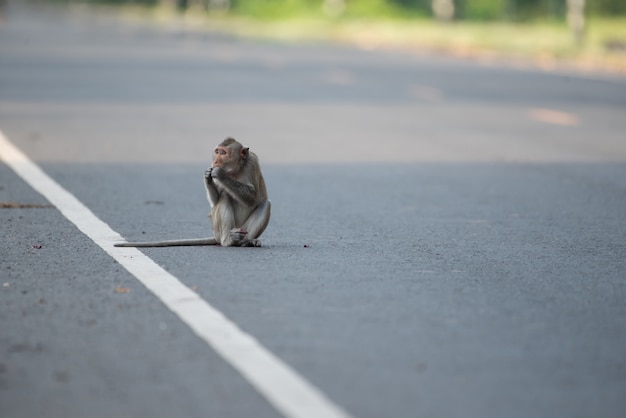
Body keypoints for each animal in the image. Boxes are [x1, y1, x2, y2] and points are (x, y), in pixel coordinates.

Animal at [114, 137, 268, 248]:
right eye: (217, 152)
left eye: (223, 153)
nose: (215, 162)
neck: (235, 170)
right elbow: (215, 201)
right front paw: (207, 177)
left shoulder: (252, 163)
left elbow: (253, 197)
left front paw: (220, 174)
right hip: (219, 229)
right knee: (224, 197)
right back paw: (229, 241)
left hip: (242, 229)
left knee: (266, 204)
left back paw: (247, 241)